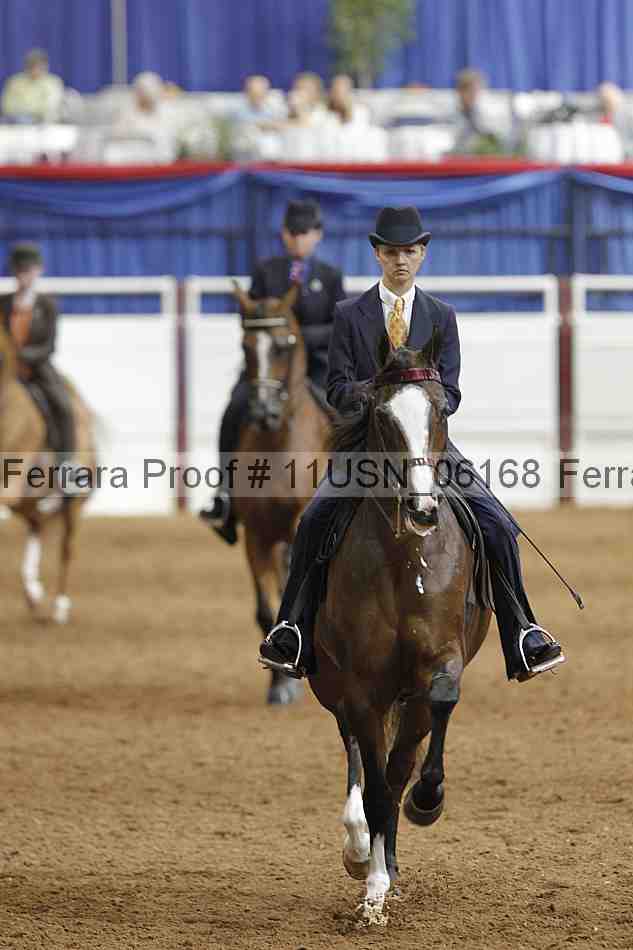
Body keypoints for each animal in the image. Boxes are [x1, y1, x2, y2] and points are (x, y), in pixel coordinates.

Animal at [0, 322, 96, 623]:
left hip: (72, 506)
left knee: (66, 548)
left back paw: (60, 607)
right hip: (26, 502)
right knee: (37, 526)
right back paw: (33, 592)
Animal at [309, 334, 492, 924]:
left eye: (441, 412)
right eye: (383, 416)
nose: (422, 510)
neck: (401, 557)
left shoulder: (438, 664)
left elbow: (424, 734)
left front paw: (427, 802)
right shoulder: (362, 686)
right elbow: (374, 783)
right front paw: (371, 890)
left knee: (397, 762)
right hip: (334, 684)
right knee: (357, 754)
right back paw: (360, 849)